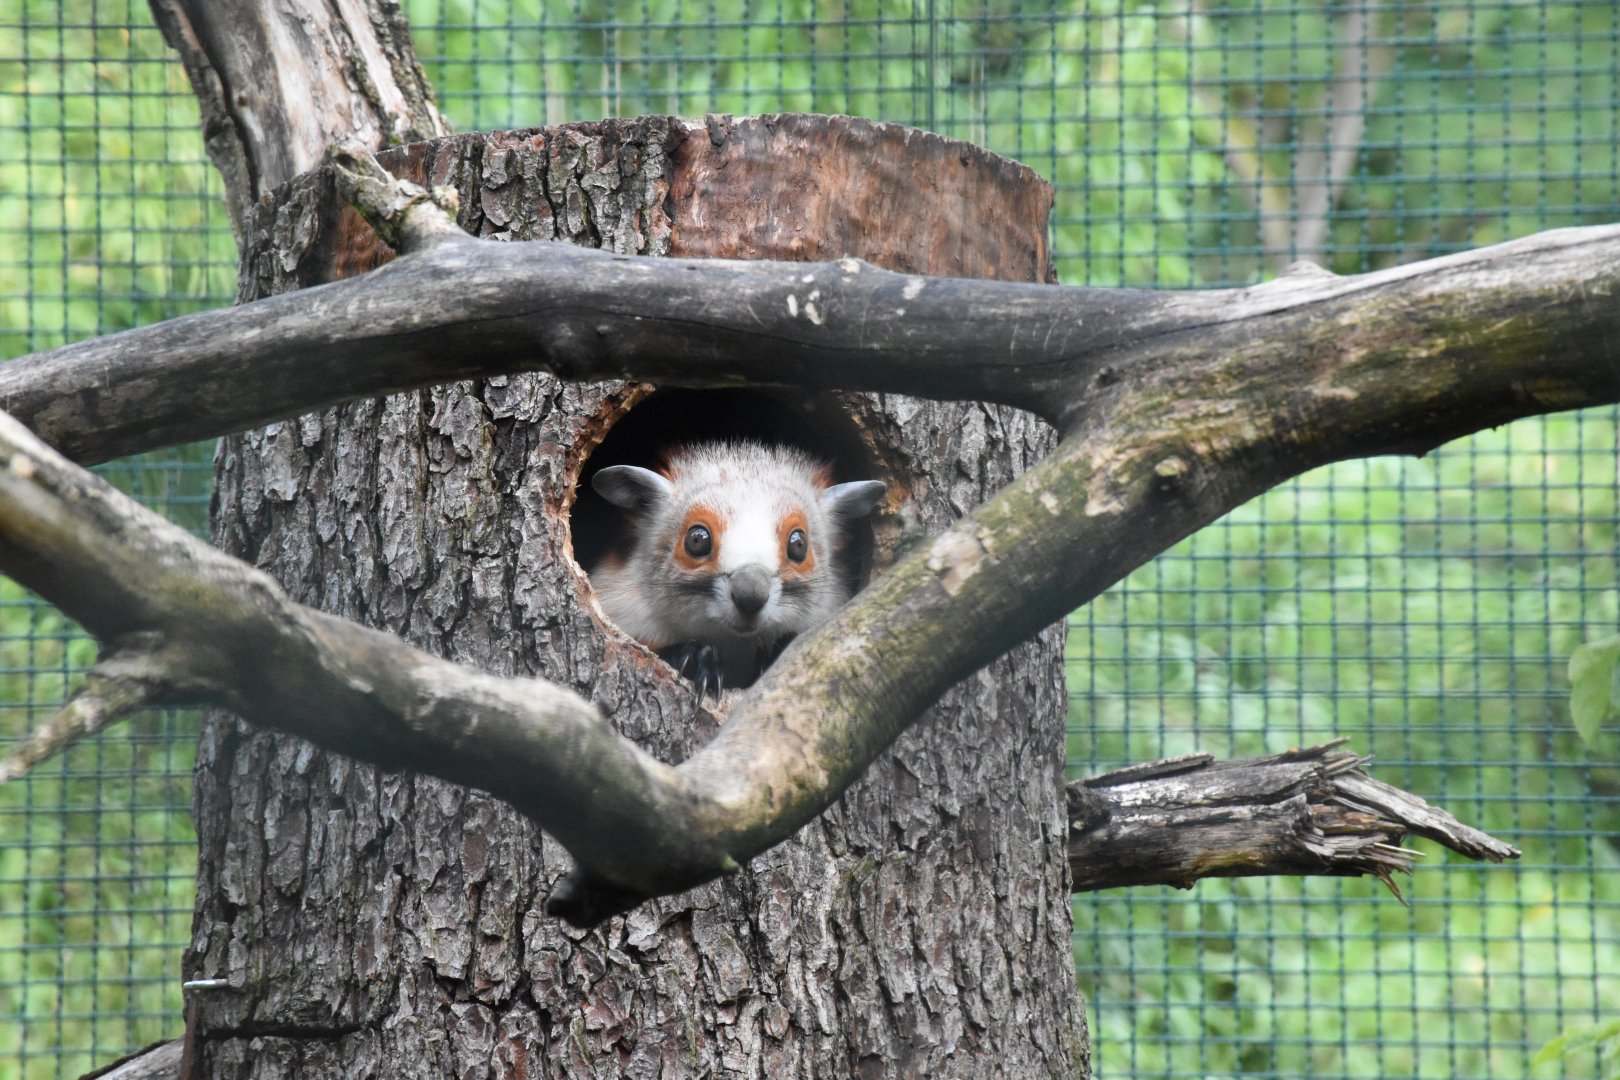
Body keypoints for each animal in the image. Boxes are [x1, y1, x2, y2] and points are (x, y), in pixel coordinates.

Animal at [589, 440, 887, 696]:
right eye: (697, 540)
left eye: (798, 544)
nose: (750, 595)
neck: (732, 644)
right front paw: (696, 659)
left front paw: (777, 652)